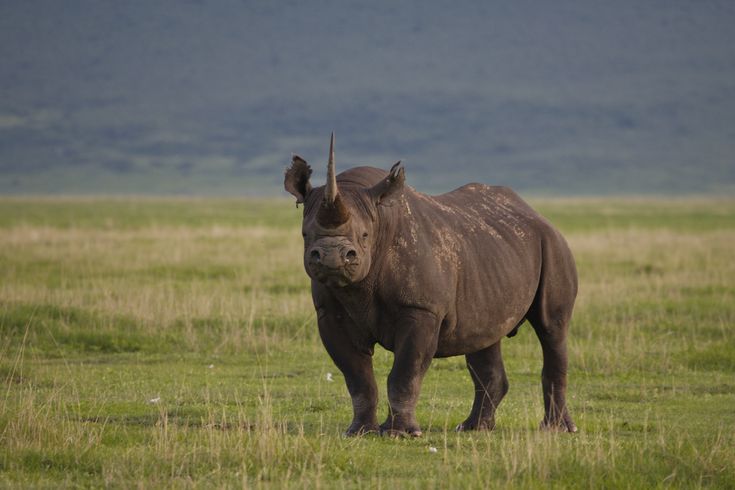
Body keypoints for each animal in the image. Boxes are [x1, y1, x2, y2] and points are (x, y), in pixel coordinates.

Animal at [284, 134, 577, 436]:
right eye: (305, 234)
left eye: (364, 236)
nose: (332, 257)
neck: (380, 219)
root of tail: (536, 213)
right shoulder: (330, 313)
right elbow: (357, 376)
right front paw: (359, 431)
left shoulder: (421, 309)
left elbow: (405, 371)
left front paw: (400, 434)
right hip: (493, 256)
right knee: (484, 335)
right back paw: (473, 428)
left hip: (552, 245)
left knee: (551, 329)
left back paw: (557, 430)